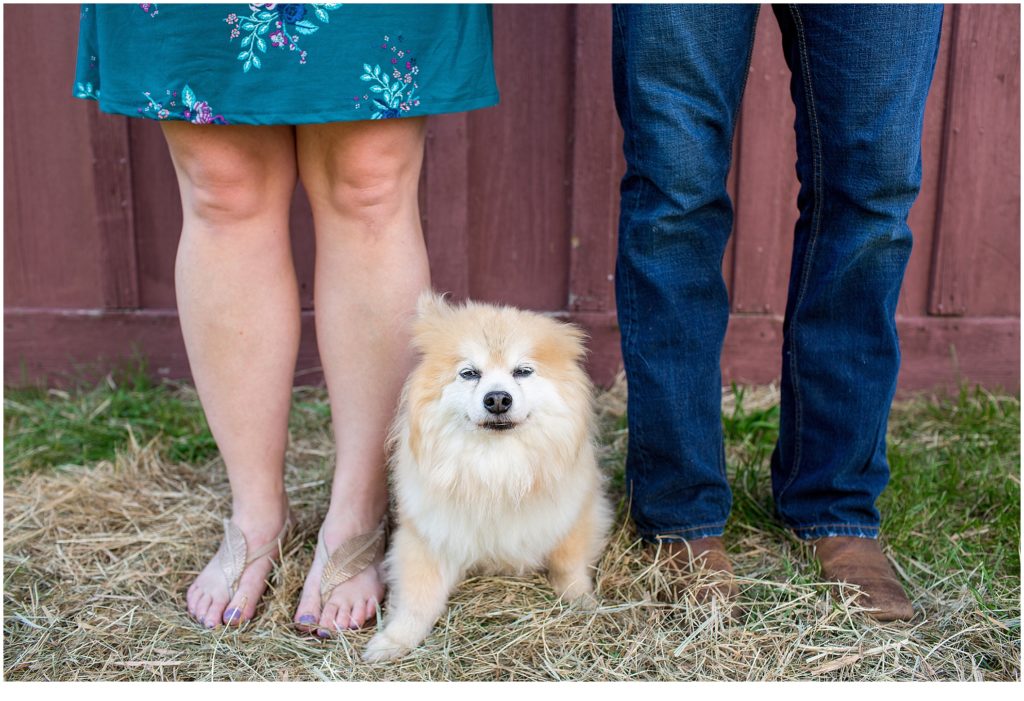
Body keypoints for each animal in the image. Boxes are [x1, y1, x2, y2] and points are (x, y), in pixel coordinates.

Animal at [364, 294, 610, 663]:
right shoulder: (427, 537)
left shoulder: (575, 513)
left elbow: (569, 565)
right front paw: (396, 639)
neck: (497, 467)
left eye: (522, 371)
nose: (496, 398)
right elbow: (417, 599)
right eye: (469, 373)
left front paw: (583, 601)